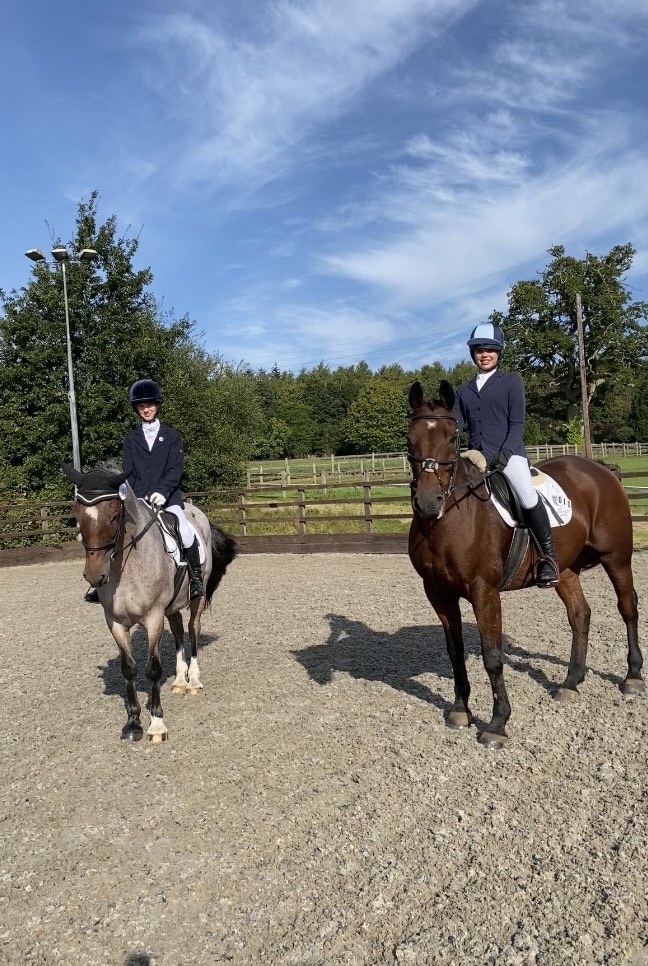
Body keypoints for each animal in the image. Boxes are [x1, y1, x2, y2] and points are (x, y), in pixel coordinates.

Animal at [61, 466, 235, 744]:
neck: (127, 565)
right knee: (178, 631)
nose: (95, 576)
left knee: (193, 629)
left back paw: (193, 681)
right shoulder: (115, 622)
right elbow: (128, 668)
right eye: (77, 515)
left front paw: (156, 724)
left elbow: (152, 669)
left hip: (195, 598)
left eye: (114, 516)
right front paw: (133, 723)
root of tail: (196, 511)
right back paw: (179, 680)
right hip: (171, 606)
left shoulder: (153, 618)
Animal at [404, 382, 644, 752]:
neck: (449, 519)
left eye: (453, 437)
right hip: (565, 569)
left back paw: (632, 677)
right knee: (580, 614)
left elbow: (492, 656)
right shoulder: (438, 593)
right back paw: (571, 683)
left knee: (627, 606)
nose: (429, 504)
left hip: (616, 557)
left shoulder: (484, 591)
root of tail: (601, 470)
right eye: (409, 439)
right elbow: (454, 651)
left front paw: (497, 724)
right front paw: (460, 710)